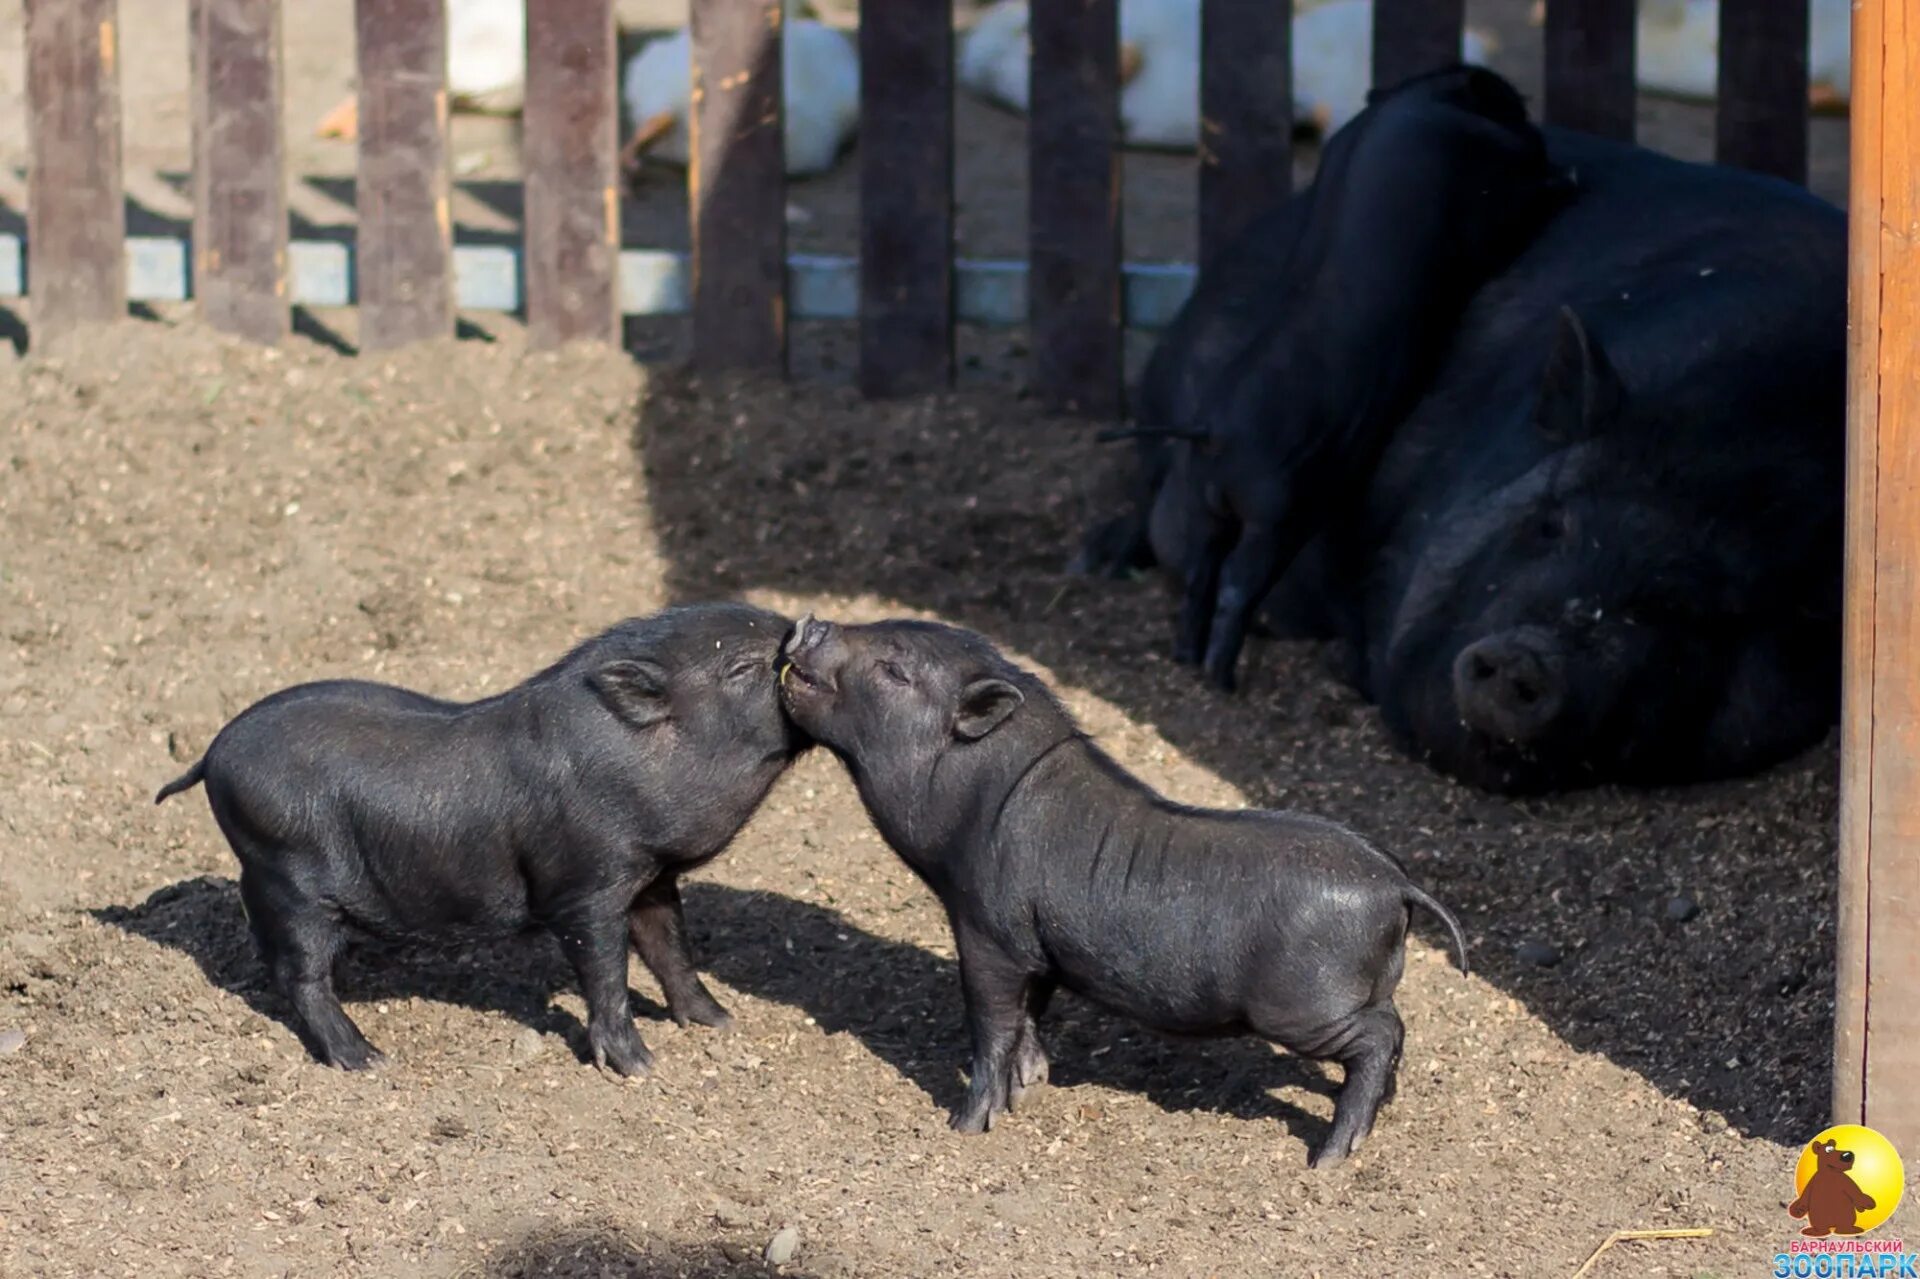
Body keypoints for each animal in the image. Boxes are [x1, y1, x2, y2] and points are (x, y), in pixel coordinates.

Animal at [153, 603, 802, 1067]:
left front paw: (720, 1021)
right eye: (740, 668)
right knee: (301, 975)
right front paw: (640, 1066)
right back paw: (370, 1060)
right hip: (289, 876)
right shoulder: (585, 884)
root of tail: (212, 753)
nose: (797, 628)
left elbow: (671, 950)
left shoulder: (649, 877)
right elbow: (605, 970)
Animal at [771, 614, 1459, 1159]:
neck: (982, 795)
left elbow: (992, 1022)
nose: (809, 622)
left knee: (1381, 1034)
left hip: (1304, 1004)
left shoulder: (990, 931)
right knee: (1393, 1030)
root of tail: (1395, 884)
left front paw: (964, 1127)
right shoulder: (1038, 948)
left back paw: (1330, 1156)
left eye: (895, 670)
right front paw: (1032, 1086)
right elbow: (1030, 1016)